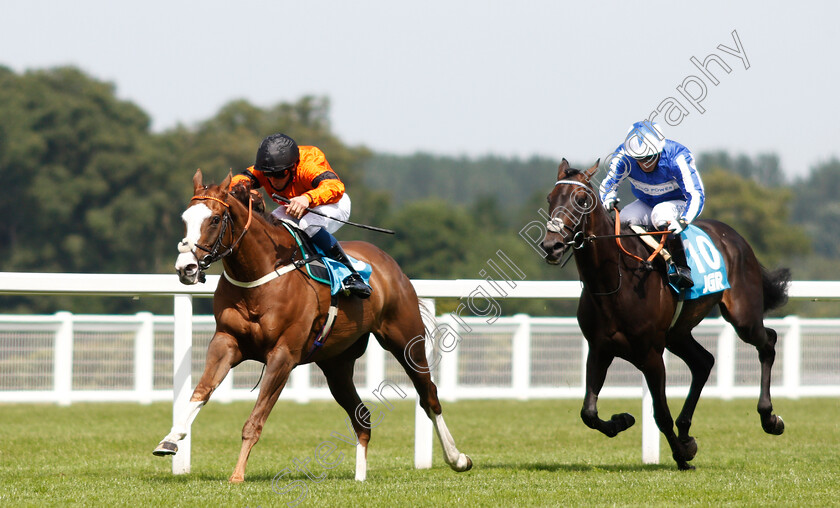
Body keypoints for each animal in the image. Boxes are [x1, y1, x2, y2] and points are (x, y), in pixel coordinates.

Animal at [154, 169, 472, 482]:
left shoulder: (283, 355)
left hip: (406, 339)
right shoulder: (226, 342)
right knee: (362, 418)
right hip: (336, 364)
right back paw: (360, 476)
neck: (259, 275)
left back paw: (457, 459)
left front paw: (237, 474)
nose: (186, 268)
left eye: (215, 219)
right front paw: (170, 440)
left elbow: (255, 420)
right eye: (185, 219)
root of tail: (389, 263)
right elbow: (201, 391)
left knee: (429, 396)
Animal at [540, 160, 792, 472]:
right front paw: (623, 421)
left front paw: (682, 456)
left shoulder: (650, 353)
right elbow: (588, 412)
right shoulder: (599, 349)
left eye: (582, 200)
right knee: (703, 362)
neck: (615, 282)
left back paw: (769, 417)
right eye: (550, 199)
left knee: (767, 341)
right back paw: (686, 431)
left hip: (743, 317)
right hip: (677, 333)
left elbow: (660, 413)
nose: (552, 246)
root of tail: (734, 236)